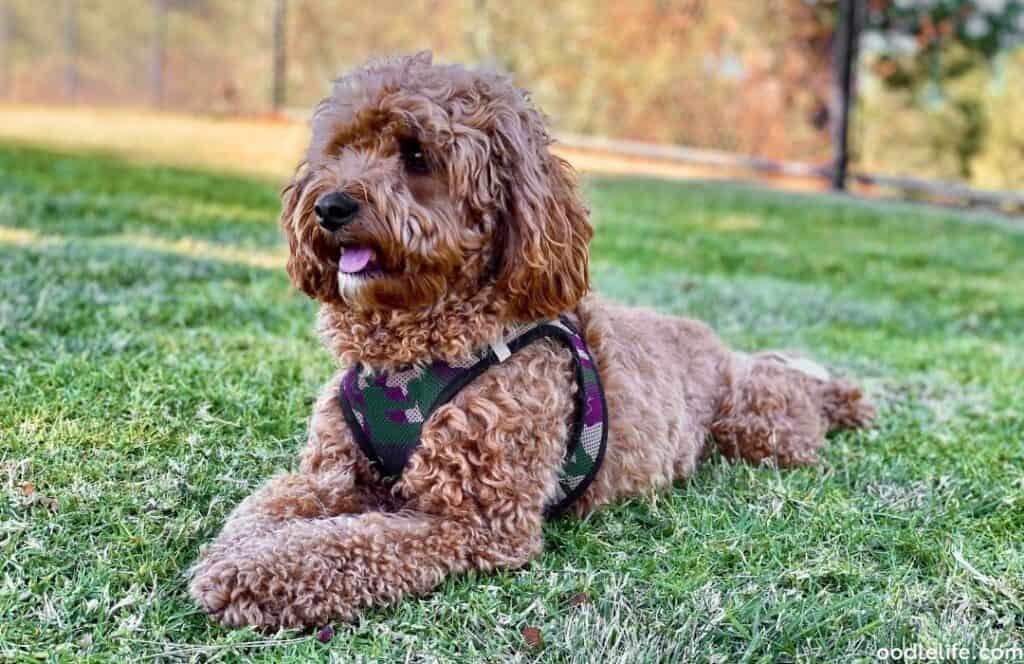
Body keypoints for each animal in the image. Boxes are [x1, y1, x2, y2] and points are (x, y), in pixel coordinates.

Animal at [186, 54, 872, 631]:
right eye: (341, 148)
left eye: (416, 155)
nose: (328, 205)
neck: (410, 351)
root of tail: (714, 344)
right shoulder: (333, 474)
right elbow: (265, 507)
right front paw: (234, 550)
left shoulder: (472, 521)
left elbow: (349, 543)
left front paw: (254, 574)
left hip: (762, 429)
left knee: (794, 398)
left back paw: (843, 398)